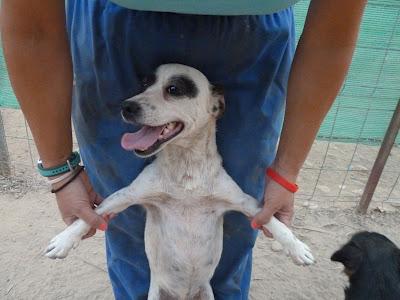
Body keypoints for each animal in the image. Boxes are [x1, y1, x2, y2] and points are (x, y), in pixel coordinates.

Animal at [47, 63, 314, 300]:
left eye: (174, 89)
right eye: (144, 84)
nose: (126, 106)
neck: (185, 169)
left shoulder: (244, 202)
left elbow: (275, 222)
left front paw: (297, 248)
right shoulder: (128, 195)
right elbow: (89, 215)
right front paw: (63, 240)